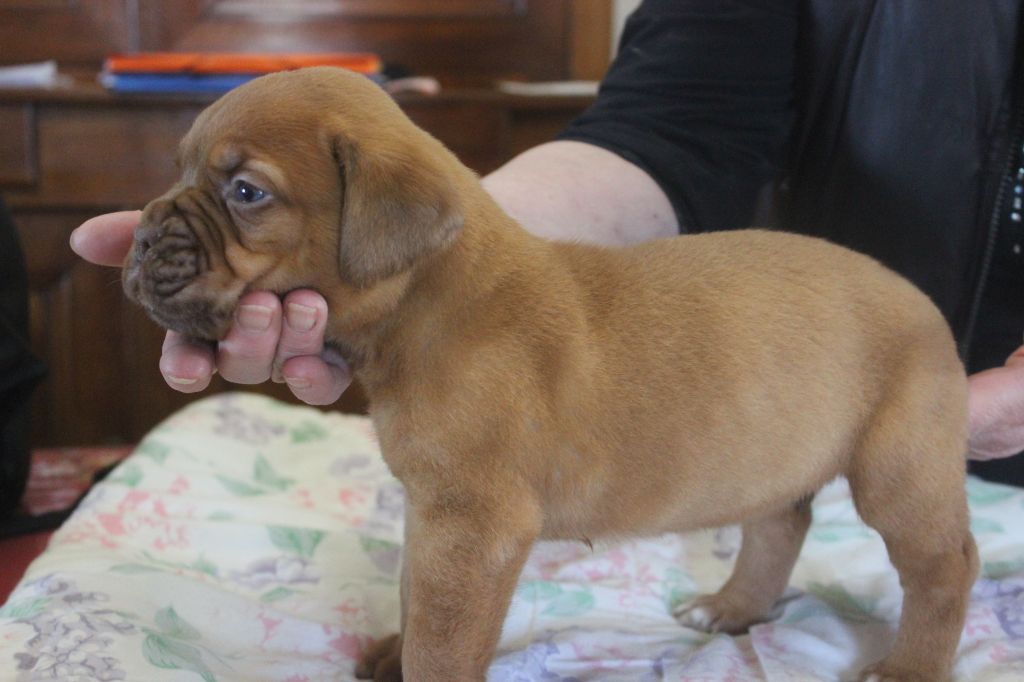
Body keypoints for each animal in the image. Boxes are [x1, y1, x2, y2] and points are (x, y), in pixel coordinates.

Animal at [123, 67, 978, 679]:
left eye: (246, 191)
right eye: (182, 168)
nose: (137, 239)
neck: (432, 296)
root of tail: (923, 300)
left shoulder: (475, 526)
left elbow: (442, 641)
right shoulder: (433, 513)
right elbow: (413, 597)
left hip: (900, 467)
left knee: (945, 566)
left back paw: (907, 669)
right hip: (774, 455)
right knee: (780, 524)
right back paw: (731, 608)